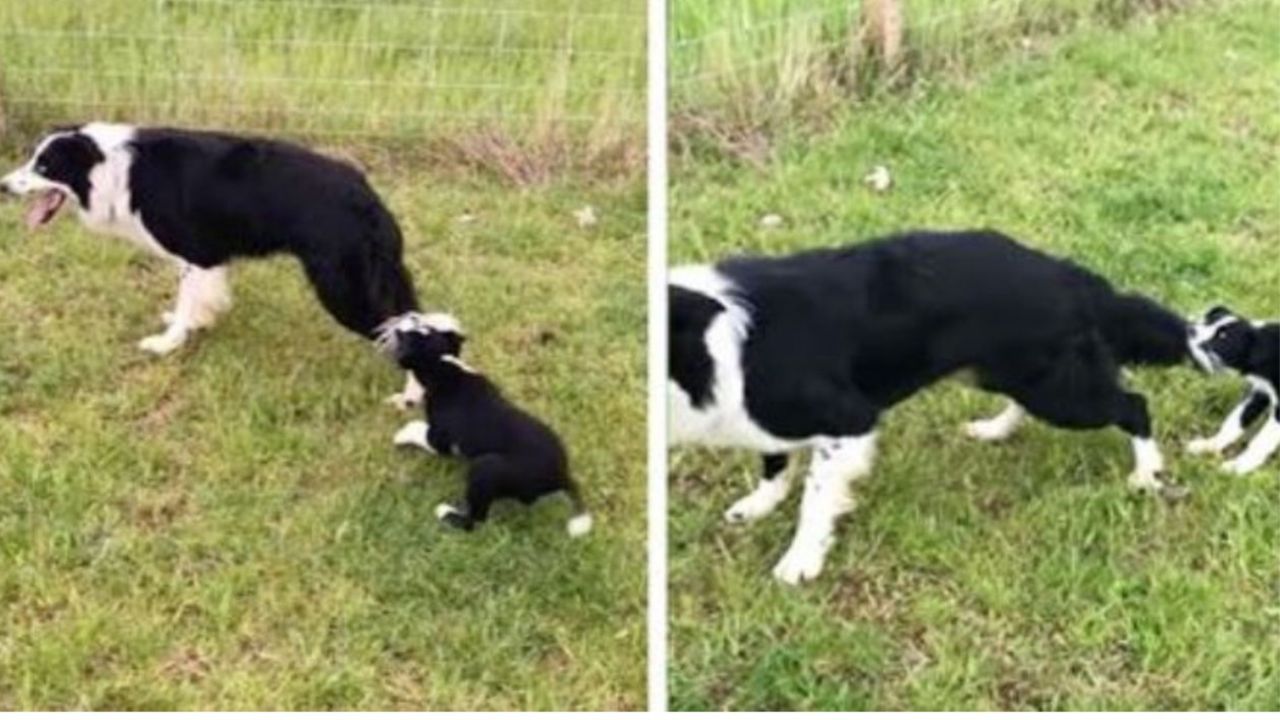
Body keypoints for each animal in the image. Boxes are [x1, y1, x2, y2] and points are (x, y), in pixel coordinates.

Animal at [1, 121, 430, 407]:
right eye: (32, 160)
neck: (109, 169)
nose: (3, 185)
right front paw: (198, 321)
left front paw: (167, 343)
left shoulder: (194, 252)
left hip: (343, 289)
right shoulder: (209, 257)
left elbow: (185, 300)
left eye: (43, 167)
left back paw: (412, 397)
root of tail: (368, 198)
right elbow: (200, 298)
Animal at [376, 310, 591, 532]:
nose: (406, 319)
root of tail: (562, 477)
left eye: (406, 338)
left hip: (485, 469)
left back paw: (445, 512)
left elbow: (418, 429)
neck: (443, 364)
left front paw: (400, 435)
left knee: (475, 521)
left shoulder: (440, 439)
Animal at [670, 229, 1198, 584]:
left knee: (1134, 404)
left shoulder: (846, 418)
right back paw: (995, 430)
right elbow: (775, 462)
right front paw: (757, 506)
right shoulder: (768, 414)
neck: (709, 338)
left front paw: (800, 562)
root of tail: (1069, 274)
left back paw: (1147, 474)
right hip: (1007, 371)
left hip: (1059, 393)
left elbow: (815, 500)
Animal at [1182, 304, 1274, 474]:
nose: (1190, 328)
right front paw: (1211, 445)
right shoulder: (1260, 391)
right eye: (1209, 321)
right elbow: (1235, 421)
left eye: (1223, 337)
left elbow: (1262, 442)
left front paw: (1238, 467)